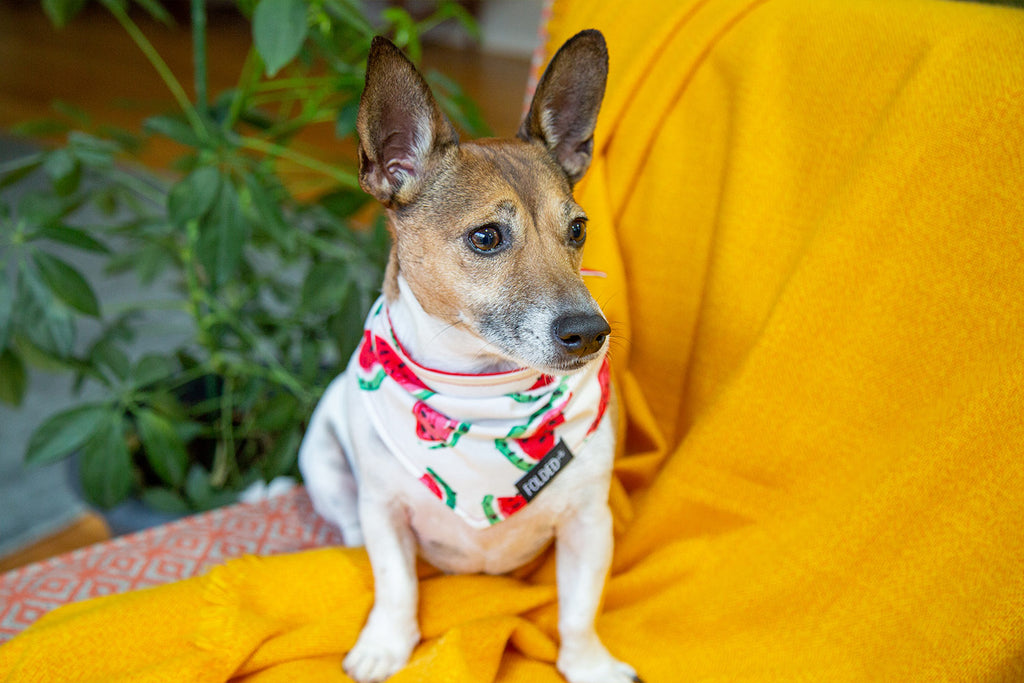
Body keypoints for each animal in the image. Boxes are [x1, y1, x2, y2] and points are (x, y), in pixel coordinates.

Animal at [296, 28, 638, 683]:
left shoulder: (589, 523)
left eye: (578, 230)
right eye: (486, 237)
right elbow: (395, 584)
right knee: (349, 519)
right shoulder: (385, 510)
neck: (480, 392)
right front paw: (386, 644)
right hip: (322, 460)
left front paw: (589, 663)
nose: (591, 332)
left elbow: (579, 611)